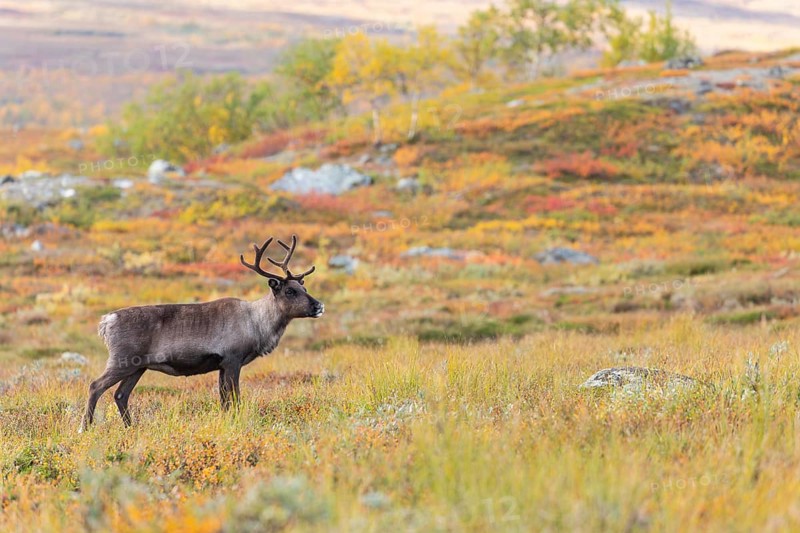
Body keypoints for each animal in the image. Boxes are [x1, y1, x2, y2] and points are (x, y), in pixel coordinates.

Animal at [80, 235, 324, 431]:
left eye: (304, 287)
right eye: (290, 291)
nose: (319, 306)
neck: (256, 323)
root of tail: (106, 321)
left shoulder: (221, 366)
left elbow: (225, 400)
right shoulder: (233, 360)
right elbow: (235, 399)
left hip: (138, 366)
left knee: (121, 394)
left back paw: (131, 428)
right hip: (122, 360)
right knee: (95, 386)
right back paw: (86, 427)